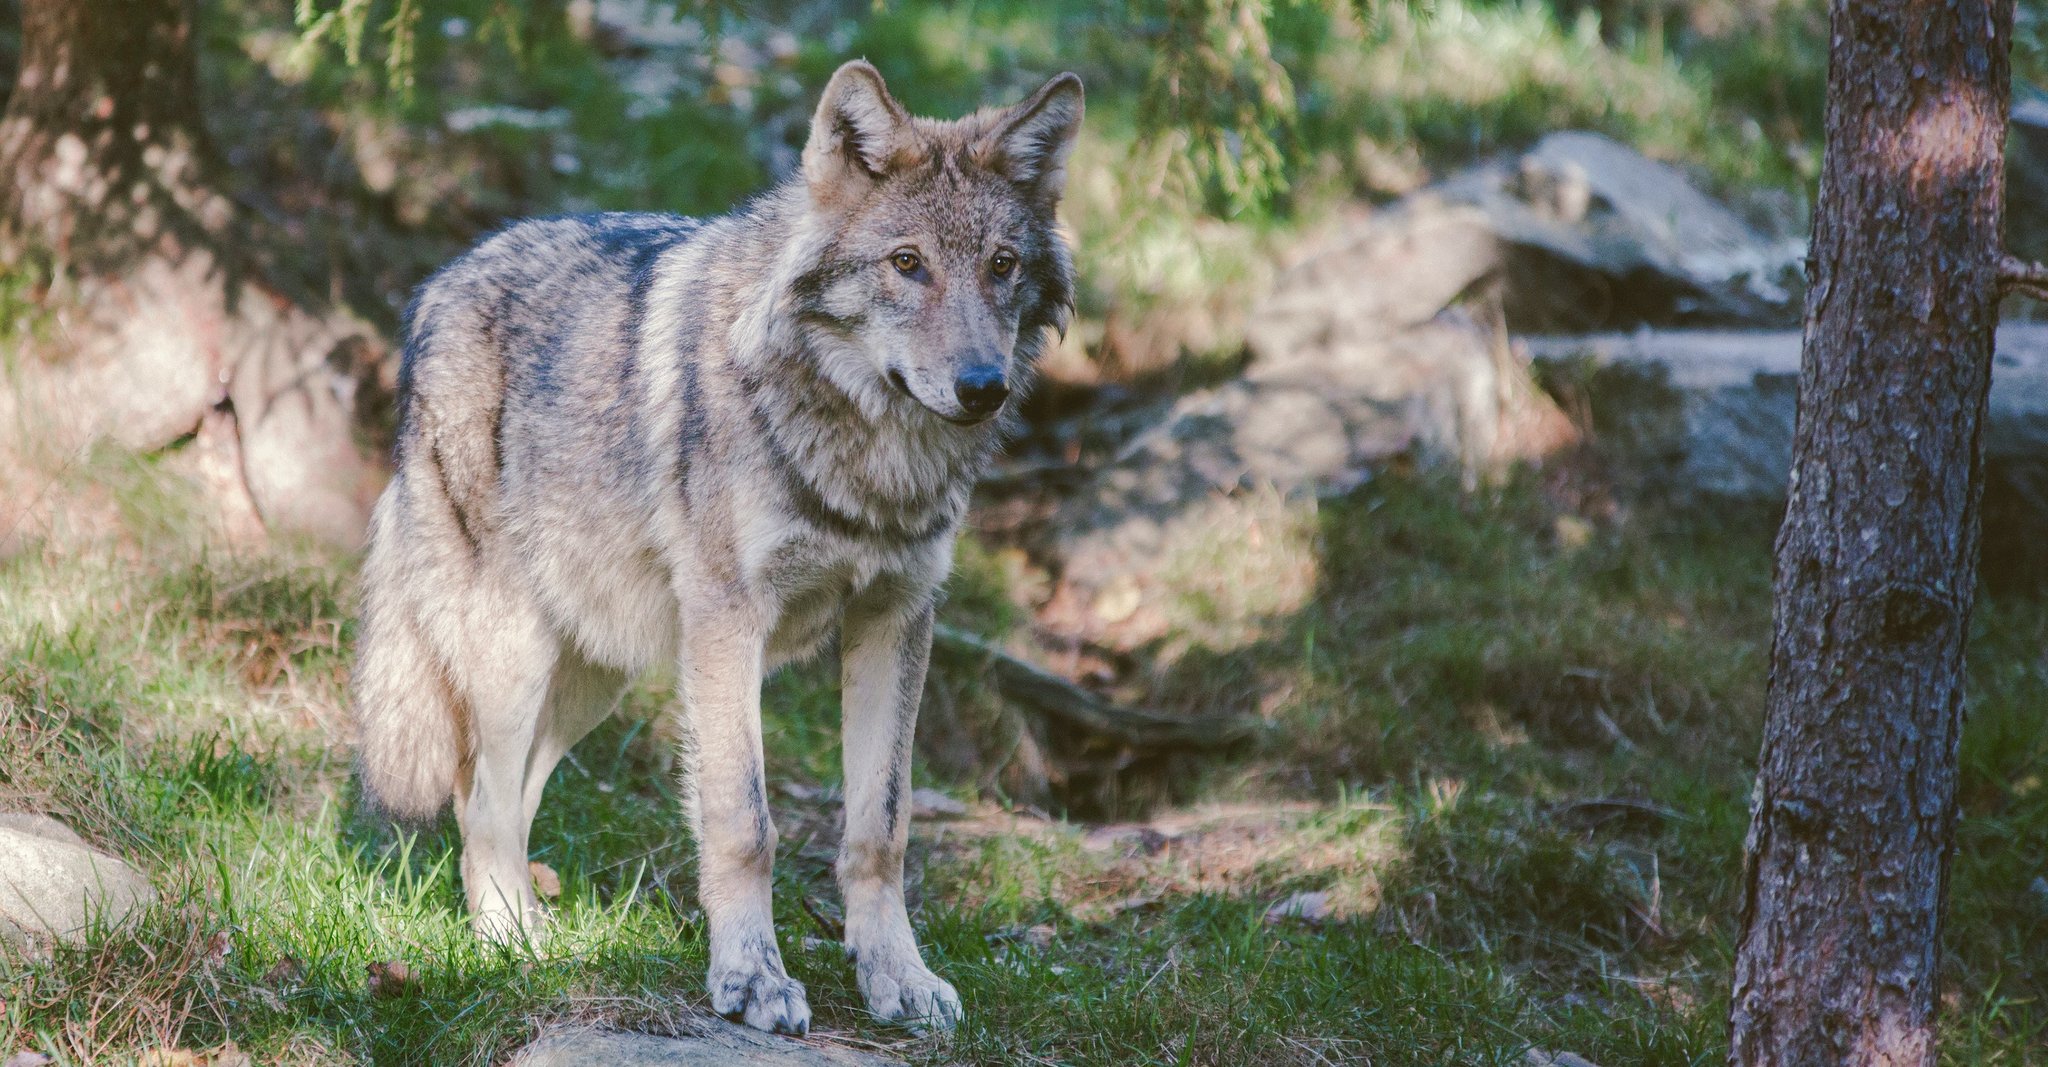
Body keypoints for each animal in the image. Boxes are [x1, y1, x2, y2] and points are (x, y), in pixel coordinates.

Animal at [348, 60, 1081, 1034]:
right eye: (907, 263)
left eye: (1002, 265)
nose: (982, 387)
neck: (868, 458)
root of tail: (436, 287)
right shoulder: (733, 624)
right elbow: (745, 823)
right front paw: (751, 979)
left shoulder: (896, 618)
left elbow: (880, 828)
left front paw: (898, 976)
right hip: (514, 656)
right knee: (480, 801)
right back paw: (512, 947)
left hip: (597, 673)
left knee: (510, 795)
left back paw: (540, 932)